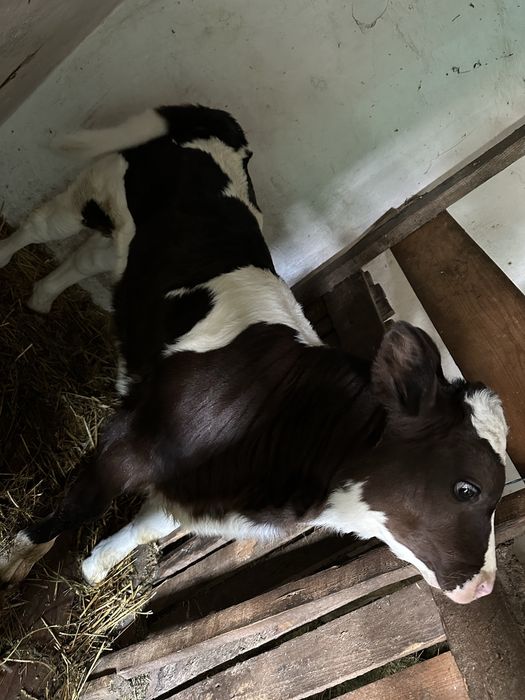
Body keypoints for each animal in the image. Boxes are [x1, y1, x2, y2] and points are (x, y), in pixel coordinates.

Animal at [0, 105, 507, 604]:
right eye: (468, 489)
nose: (484, 586)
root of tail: (219, 119)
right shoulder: (128, 442)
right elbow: (80, 507)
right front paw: (14, 561)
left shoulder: (191, 494)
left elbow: (139, 532)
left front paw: (93, 569)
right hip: (97, 185)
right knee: (40, 224)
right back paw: (6, 257)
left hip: (123, 242)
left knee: (82, 259)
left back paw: (40, 300)